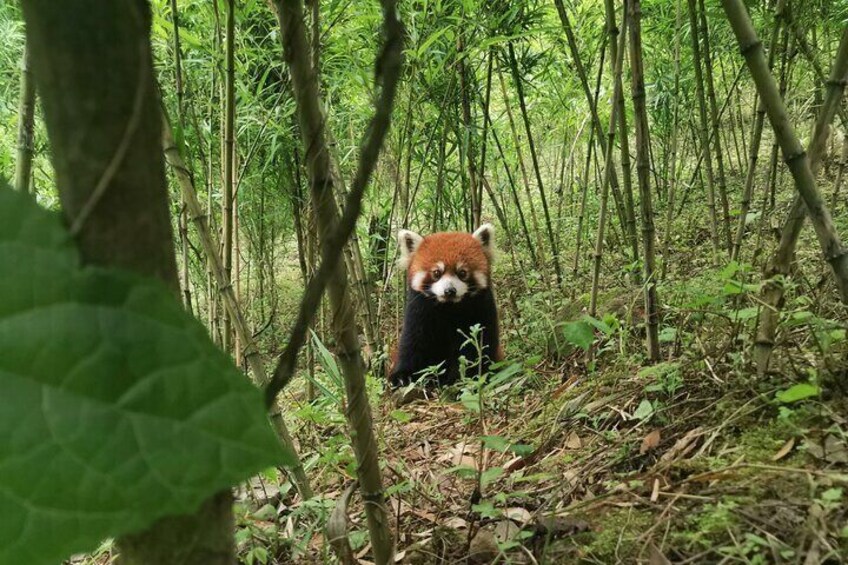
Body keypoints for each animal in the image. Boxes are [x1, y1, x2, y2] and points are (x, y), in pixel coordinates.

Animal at [392, 225, 504, 388]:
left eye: (462, 273)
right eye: (437, 273)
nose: (449, 291)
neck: (448, 308)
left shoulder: (481, 310)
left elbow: (476, 346)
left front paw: (459, 378)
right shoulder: (418, 312)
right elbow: (412, 342)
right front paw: (402, 375)